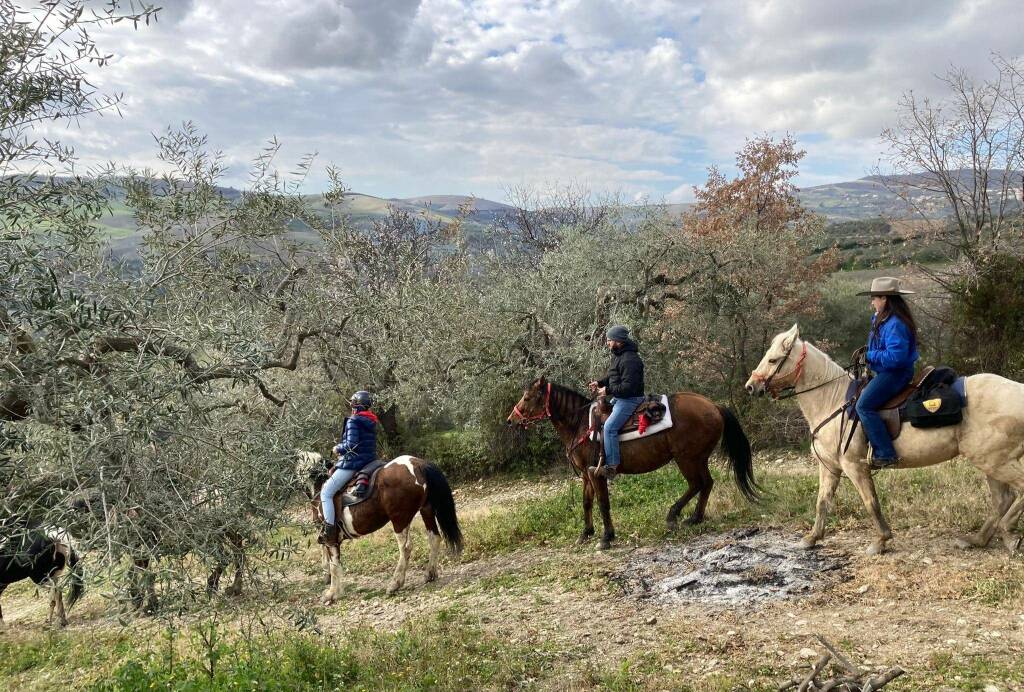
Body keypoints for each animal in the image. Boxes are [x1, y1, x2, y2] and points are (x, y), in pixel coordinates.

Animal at [317, 450, 466, 601]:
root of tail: (418, 464)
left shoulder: (331, 539)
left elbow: (333, 563)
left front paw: (332, 593)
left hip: (399, 519)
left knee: (405, 548)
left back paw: (395, 584)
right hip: (425, 510)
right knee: (434, 538)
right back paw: (430, 574)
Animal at [505, 378, 757, 552]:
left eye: (527, 397)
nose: (511, 420)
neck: (580, 424)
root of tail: (714, 406)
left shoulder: (596, 473)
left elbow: (603, 503)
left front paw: (606, 537)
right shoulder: (586, 475)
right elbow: (587, 503)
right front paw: (585, 533)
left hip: (687, 458)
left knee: (697, 484)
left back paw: (675, 516)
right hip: (698, 458)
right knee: (706, 484)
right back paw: (694, 518)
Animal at [745, 323, 1024, 556]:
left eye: (773, 359)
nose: (750, 386)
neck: (832, 402)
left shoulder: (854, 466)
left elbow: (871, 502)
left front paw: (880, 541)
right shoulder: (831, 468)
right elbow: (822, 502)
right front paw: (812, 538)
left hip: (995, 461)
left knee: (1014, 493)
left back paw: (1008, 533)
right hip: (989, 461)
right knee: (1003, 500)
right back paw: (977, 540)